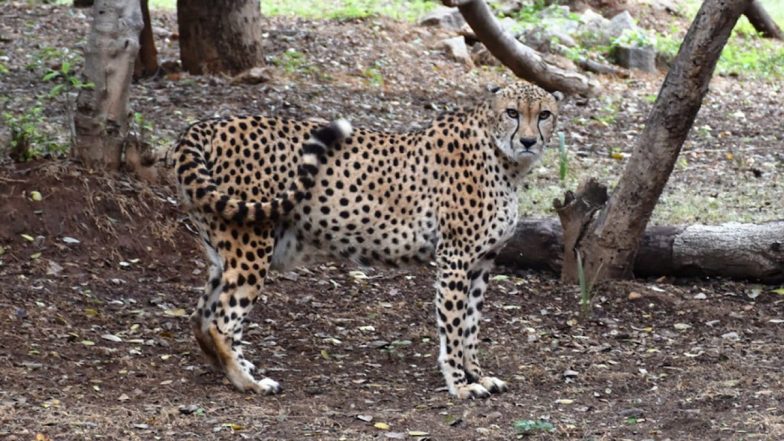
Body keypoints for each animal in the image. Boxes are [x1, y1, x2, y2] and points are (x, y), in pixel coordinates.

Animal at [173, 82, 563, 399]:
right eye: (512, 112)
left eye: (544, 114)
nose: (529, 141)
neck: (505, 159)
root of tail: (209, 124)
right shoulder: (456, 257)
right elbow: (453, 326)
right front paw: (460, 384)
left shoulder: (482, 262)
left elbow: (471, 325)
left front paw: (478, 375)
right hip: (251, 248)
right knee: (222, 322)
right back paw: (248, 383)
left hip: (225, 252)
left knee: (200, 317)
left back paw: (230, 369)